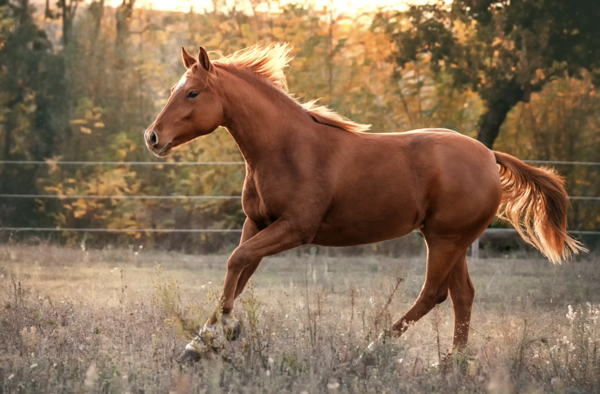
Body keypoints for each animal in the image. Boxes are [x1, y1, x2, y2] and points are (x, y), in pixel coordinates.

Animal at [145, 42, 584, 360]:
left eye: (192, 92)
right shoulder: (258, 223)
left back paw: (370, 352)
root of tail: (490, 156)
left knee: (434, 294)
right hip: (451, 240)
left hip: (445, 239)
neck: (286, 149)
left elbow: (236, 262)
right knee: (462, 296)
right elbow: (239, 271)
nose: (152, 137)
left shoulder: (296, 229)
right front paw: (198, 345)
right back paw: (450, 365)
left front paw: (221, 333)